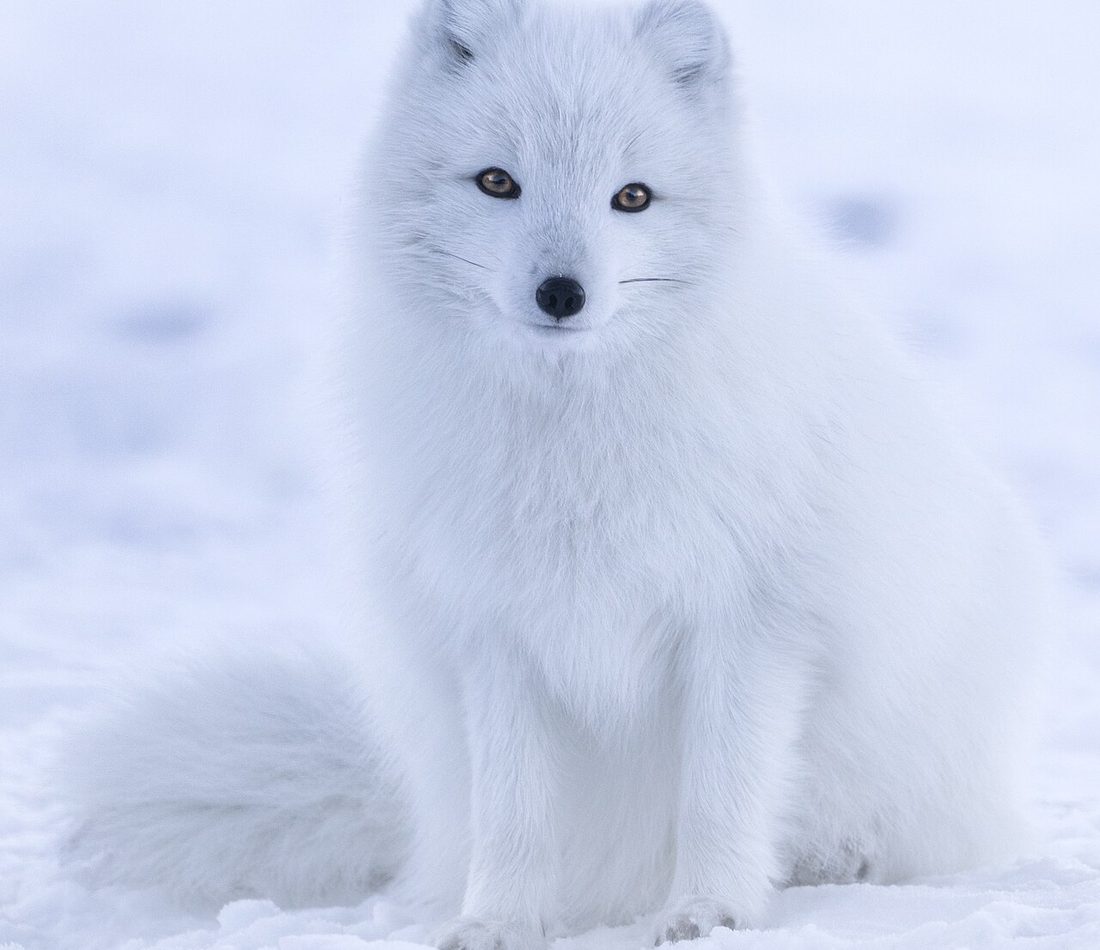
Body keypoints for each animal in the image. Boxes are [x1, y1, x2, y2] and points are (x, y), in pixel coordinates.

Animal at [63, 0, 1052, 948]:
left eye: (633, 197)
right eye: (498, 182)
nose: (562, 293)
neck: (573, 446)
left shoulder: (750, 623)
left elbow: (721, 793)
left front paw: (710, 915)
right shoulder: (496, 632)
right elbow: (515, 816)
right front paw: (497, 924)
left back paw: (838, 860)